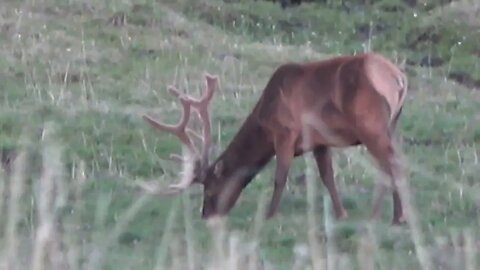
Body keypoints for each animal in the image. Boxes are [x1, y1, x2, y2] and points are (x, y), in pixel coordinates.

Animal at [138, 51, 408, 225]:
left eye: (211, 187)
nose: (207, 214)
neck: (263, 125)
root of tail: (398, 78)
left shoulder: (285, 132)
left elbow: (280, 177)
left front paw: (269, 215)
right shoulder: (319, 141)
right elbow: (327, 176)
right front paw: (341, 214)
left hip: (371, 125)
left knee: (392, 163)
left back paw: (393, 216)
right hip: (391, 125)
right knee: (391, 164)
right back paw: (386, 214)